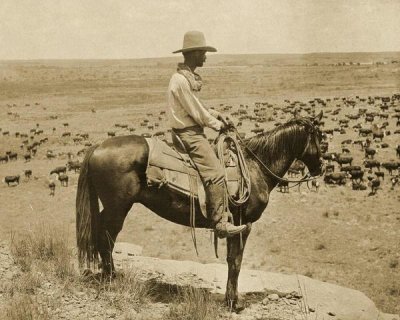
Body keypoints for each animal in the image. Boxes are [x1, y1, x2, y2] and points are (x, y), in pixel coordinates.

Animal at [76, 112, 324, 310]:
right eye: (319, 138)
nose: (320, 168)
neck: (255, 168)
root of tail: (98, 146)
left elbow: (231, 260)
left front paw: (230, 299)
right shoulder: (243, 225)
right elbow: (236, 261)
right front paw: (233, 303)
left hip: (111, 208)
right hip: (118, 208)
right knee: (106, 238)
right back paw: (111, 279)